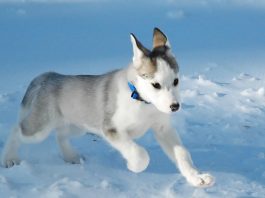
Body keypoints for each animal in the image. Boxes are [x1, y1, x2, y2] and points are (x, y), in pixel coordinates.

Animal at [1, 27, 212, 187]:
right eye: (156, 85)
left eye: (176, 81)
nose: (175, 106)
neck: (141, 101)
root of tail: (49, 75)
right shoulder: (111, 129)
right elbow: (140, 153)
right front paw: (134, 166)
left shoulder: (163, 128)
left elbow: (182, 154)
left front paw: (197, 177)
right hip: (39, 128)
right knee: (17, 129)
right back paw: (9, 159)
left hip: (77, 124)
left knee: (60, 135)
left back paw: (71, 157)